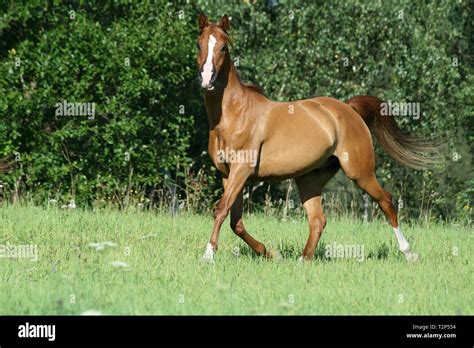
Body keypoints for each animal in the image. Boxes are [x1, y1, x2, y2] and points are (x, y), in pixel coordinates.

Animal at [196, 14, 436, 262]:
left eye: (223, 47)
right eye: (199, 44)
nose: (207, 79)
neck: (233, 114)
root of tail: (350, 109)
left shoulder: (242, 169)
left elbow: (221, 210)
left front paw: (208, 255)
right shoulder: (228, 174)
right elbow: (236, 222)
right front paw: (270, 253)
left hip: (360, 172)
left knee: (386, 202)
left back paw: (408, 253)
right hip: (310, 179)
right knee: (318, 220)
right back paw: (303, 260)